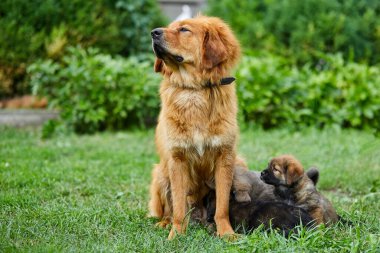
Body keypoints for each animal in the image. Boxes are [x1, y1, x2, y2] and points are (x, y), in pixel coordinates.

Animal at [148, 15, 240, 239]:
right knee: (168, 209)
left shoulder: (225, 157)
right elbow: (179, 207)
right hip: (160, 173)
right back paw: (165, 223)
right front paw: (176, 235)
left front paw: (226, 233)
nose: (153, 32)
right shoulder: (177, 159)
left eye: (184, 30)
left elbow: (222, 206)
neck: (194, 91)